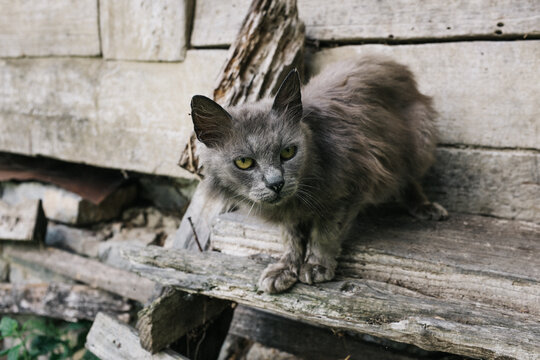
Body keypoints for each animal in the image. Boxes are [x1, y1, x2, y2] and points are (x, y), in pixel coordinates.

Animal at [190, 54, 448, 294]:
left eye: (288, 152)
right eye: (244, 162)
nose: (276, 183)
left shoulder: (350, 188)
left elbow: (325, 232)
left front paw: (317, 266)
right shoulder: (289, 212)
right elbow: (290, 238)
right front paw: (285, 269)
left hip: (418, 140)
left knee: (410, 178)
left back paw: (425, 207)